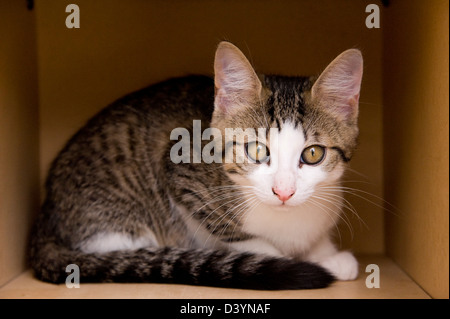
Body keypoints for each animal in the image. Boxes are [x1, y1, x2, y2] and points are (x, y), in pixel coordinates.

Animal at [29, 42, 362, 290]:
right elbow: (242, 238)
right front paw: (295, 260)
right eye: (256, 150)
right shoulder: (180, 173)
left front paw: (327, 254)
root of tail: (45, 216)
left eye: (313, 154)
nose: (283, 192)